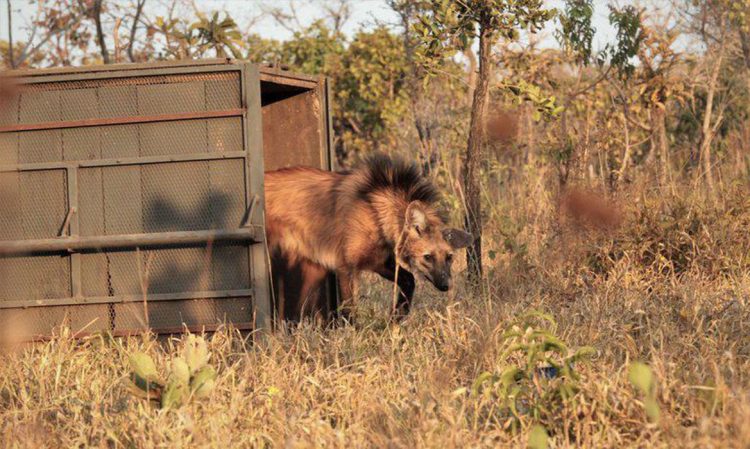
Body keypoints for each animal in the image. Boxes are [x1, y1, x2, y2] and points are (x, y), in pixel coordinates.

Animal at [264, 153, 473, 323]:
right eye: (428, 257)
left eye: (449, 257)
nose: (446, 285)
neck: (376, 213)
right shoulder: (346, 268)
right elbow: (349, 311)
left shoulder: (377, 261)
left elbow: (408, 280)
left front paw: (395, 319)